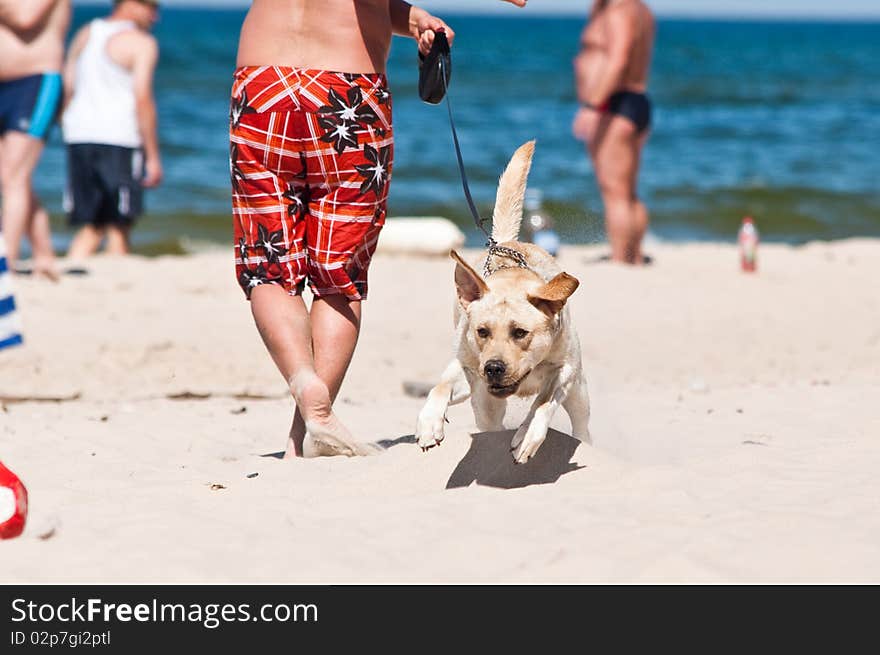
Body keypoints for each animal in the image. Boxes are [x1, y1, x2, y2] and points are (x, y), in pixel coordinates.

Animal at [414, 141, 592, 464]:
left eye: (520, 332)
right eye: (482, 331)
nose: (493, 368)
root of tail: (506, 244)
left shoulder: (564, 371)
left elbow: (544, 401)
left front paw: (528, 436)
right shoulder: (468, 369)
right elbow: (441, 386)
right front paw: (429, 424)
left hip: (579, 392)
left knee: (581, 424)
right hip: (485, 405)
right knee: (489, 424)